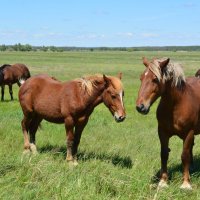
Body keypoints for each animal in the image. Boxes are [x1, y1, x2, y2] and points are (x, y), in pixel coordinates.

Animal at [135, 56, 199, 189]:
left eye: (155, 79)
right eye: (141, 78)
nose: (140, 107)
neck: (176, 104)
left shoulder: (189, 133)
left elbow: (184, 155)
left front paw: (186, 184)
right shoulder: (162, 132)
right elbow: (164, 154)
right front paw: (163, 182)